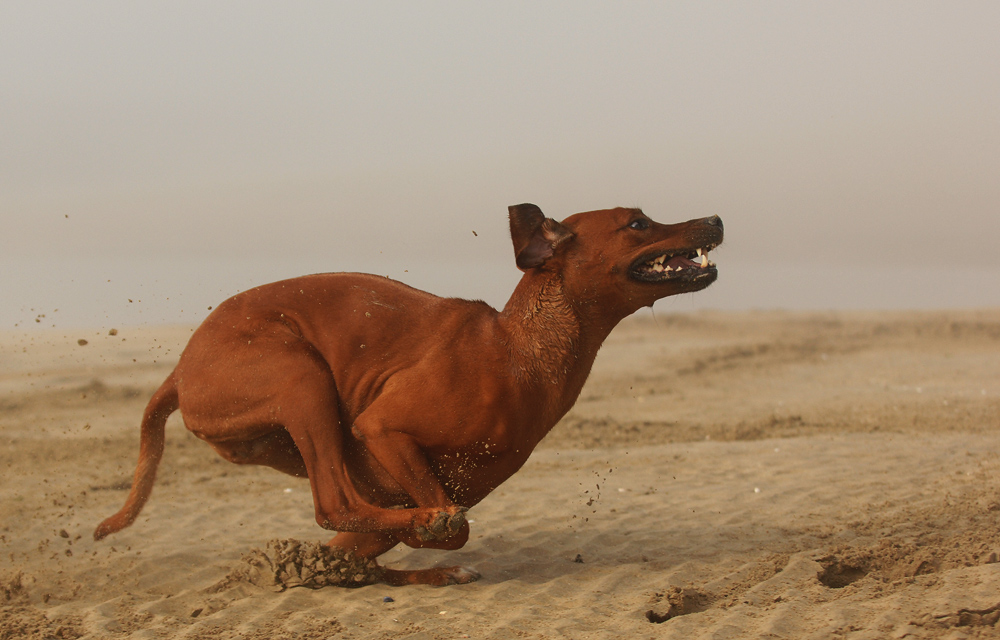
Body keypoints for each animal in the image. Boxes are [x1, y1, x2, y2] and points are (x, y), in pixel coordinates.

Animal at [95, 204, 720, 584]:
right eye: (637, 223)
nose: (713, 218)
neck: (519, 349)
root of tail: (179, 371)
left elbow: (400, 530)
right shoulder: (383, 429)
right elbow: (452, 524)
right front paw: (433, 526)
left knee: (348, 543)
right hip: (301, 377)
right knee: (335, 504)